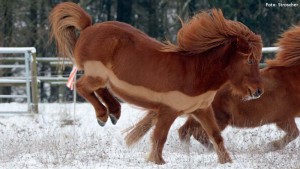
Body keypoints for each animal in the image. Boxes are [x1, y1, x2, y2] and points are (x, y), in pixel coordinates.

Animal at [48, 1, 262, 164]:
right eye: (250, 60)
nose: (258, 91)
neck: (195, 71)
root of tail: (88, 28)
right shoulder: (168, 111)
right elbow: (159, 138)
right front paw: (157, 162)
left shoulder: (202, 109)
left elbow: (216, 135)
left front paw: (227, 161)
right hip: (96, 74)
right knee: (82, 86)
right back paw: (102, 115)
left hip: (102, 77)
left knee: (100, 90)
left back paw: (114, 112)